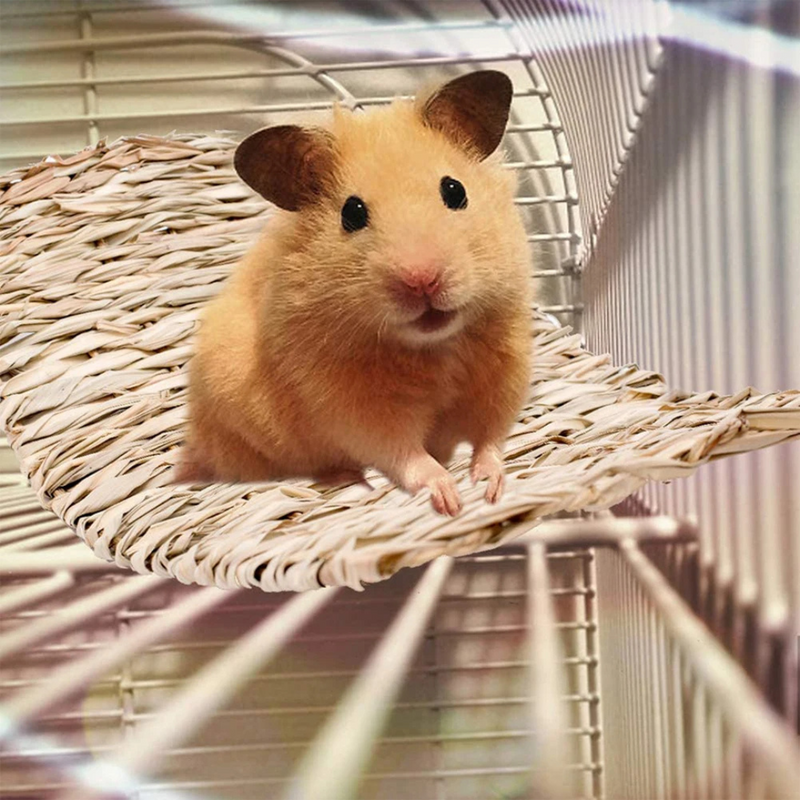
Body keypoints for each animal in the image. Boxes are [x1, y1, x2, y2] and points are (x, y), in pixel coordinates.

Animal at [177, 70, 532, 516]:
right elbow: (404, 453)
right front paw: (449, 499)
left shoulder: (505, 370)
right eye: (352, 213)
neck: (435, 347)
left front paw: (488, 487)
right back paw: (347, 479)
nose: (422, 280)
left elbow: (492, 435)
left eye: (455, 191)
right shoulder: (354, 405)